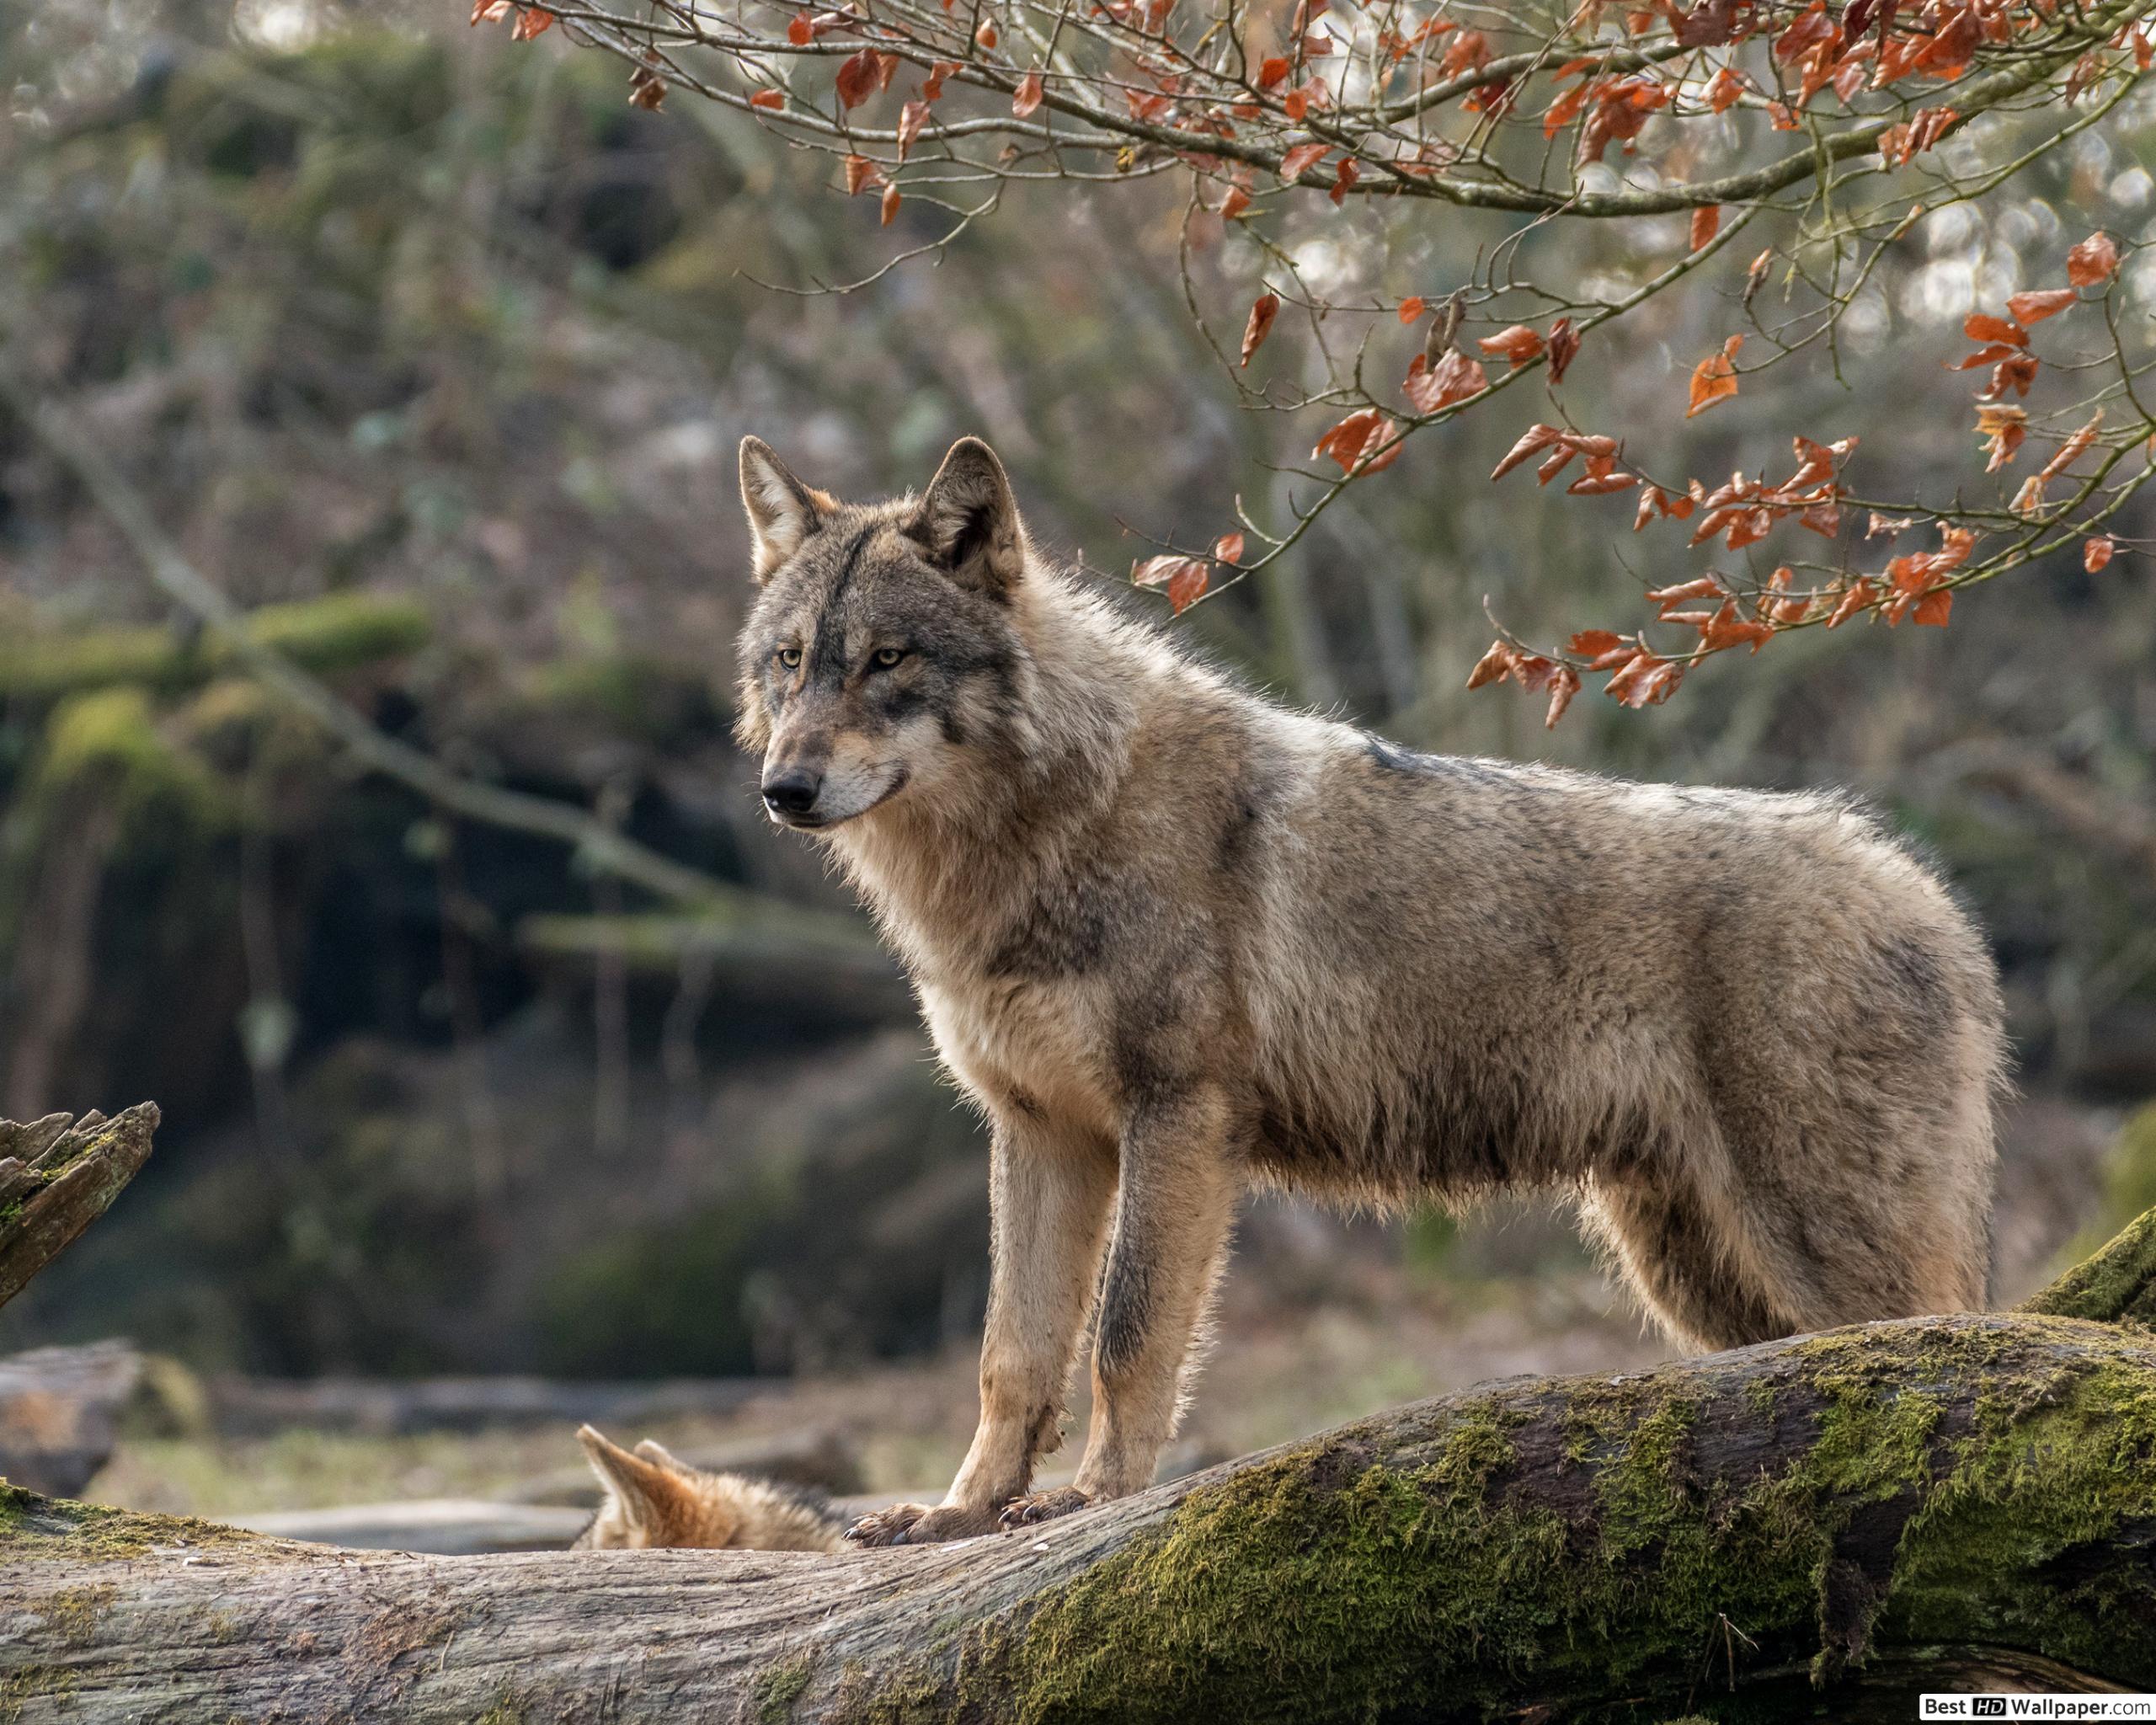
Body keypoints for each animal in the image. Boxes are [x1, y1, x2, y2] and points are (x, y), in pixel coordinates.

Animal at [733, 435, 2009, 1552]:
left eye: (888, 659)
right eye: (791, 660)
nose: (782, 789)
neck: (1039, 832)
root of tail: (1931, 897)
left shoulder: (1179, 1117)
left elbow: (1128, 1335)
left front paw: (1092, 1499)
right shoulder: (1042, 1131)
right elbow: (1013, 1354)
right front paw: (959, 1514)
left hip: (1813, 1257)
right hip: (1697, 1277)